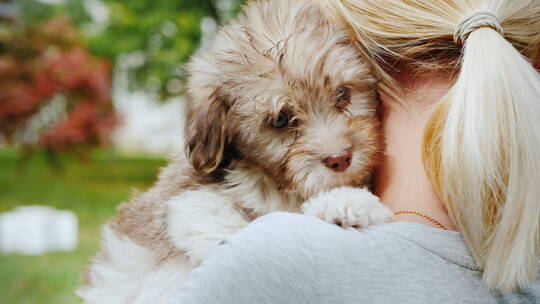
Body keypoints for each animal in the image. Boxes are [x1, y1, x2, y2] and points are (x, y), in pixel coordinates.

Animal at [78, 0, 390, 302]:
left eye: (343, 94)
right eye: (280, 119)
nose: (340, 159)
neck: (264, 179)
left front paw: (349, 201)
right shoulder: (188, 206)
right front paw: (340, 201)